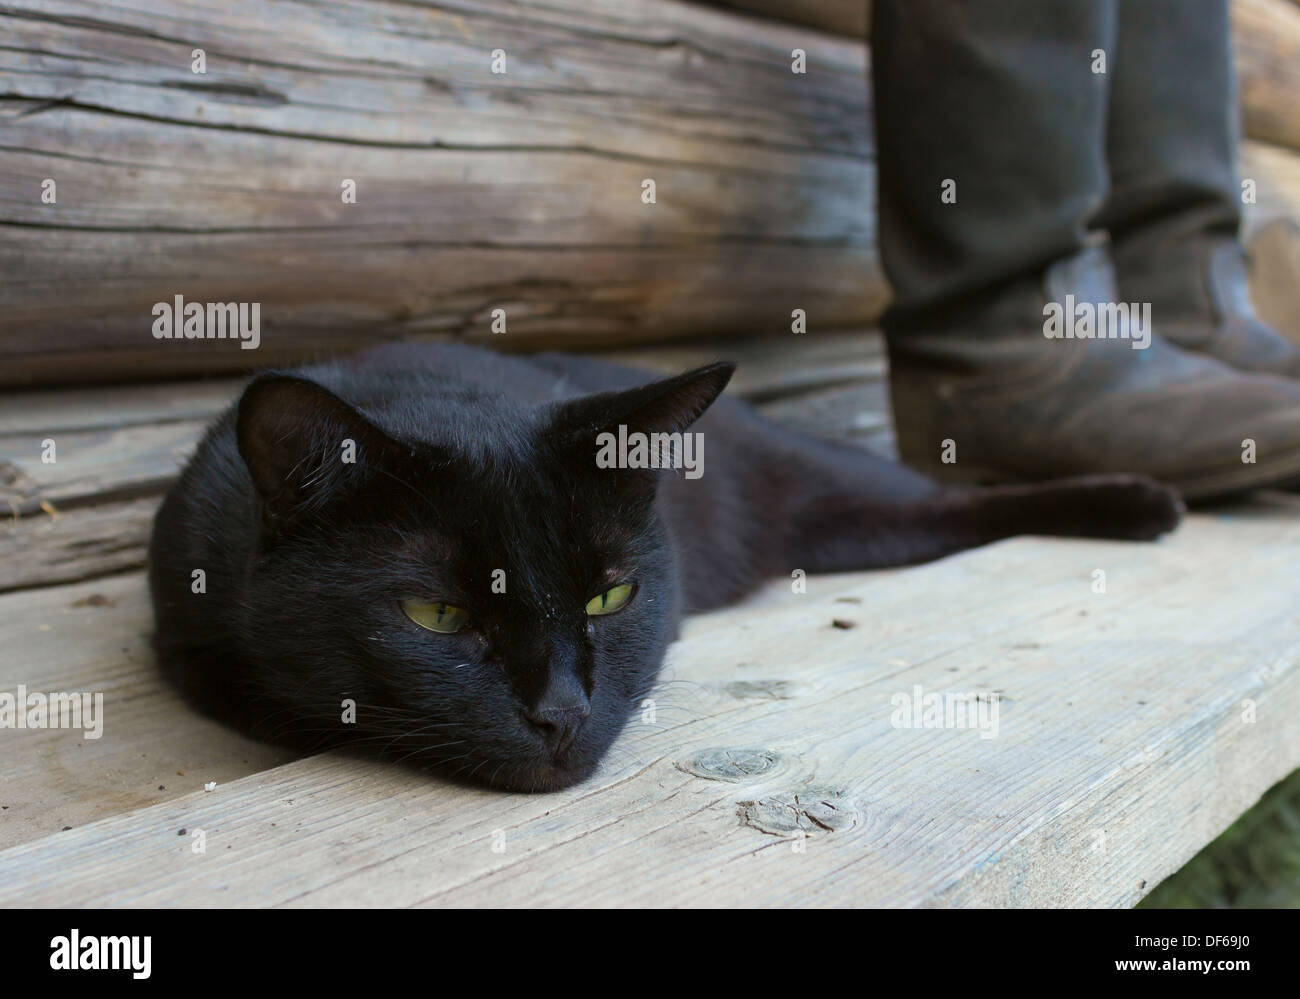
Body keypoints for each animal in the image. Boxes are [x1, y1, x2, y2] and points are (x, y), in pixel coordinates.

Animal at [147, 340, 1185, 790]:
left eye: (613, 594)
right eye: (436, 616)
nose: (563, 712)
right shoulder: (183, 633)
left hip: (842, 491)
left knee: (948, 501)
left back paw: (1144, 503)